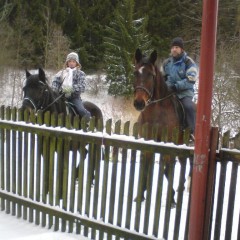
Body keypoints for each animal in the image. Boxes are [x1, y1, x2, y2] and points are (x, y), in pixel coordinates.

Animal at [134, 48, 188, 204]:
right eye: (135, 73)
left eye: (151, 75)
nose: (139, 103)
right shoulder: (147, 142)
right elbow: (146, 166)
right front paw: (140, 195)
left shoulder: (169, 144)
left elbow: (168, 169)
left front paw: (171, 199)